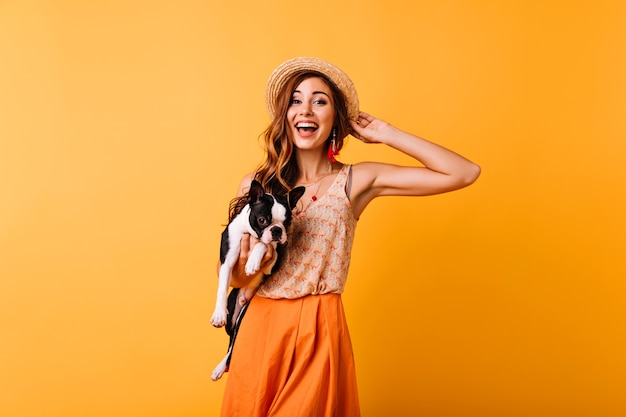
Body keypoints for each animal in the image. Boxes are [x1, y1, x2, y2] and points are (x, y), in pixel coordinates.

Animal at [211, 180, 304, 380]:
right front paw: (218, 314)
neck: (250, 233)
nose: (277, 230)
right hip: (232, 317)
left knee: (233, 346)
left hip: (243, 315)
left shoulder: (273, 260)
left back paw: (221, 367)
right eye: (262, 220)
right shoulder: (227, 259)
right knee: (231, 341)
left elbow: (263, 244)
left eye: (287, 222)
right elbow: (221, 288)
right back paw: (220, 367)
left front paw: (253, 262)